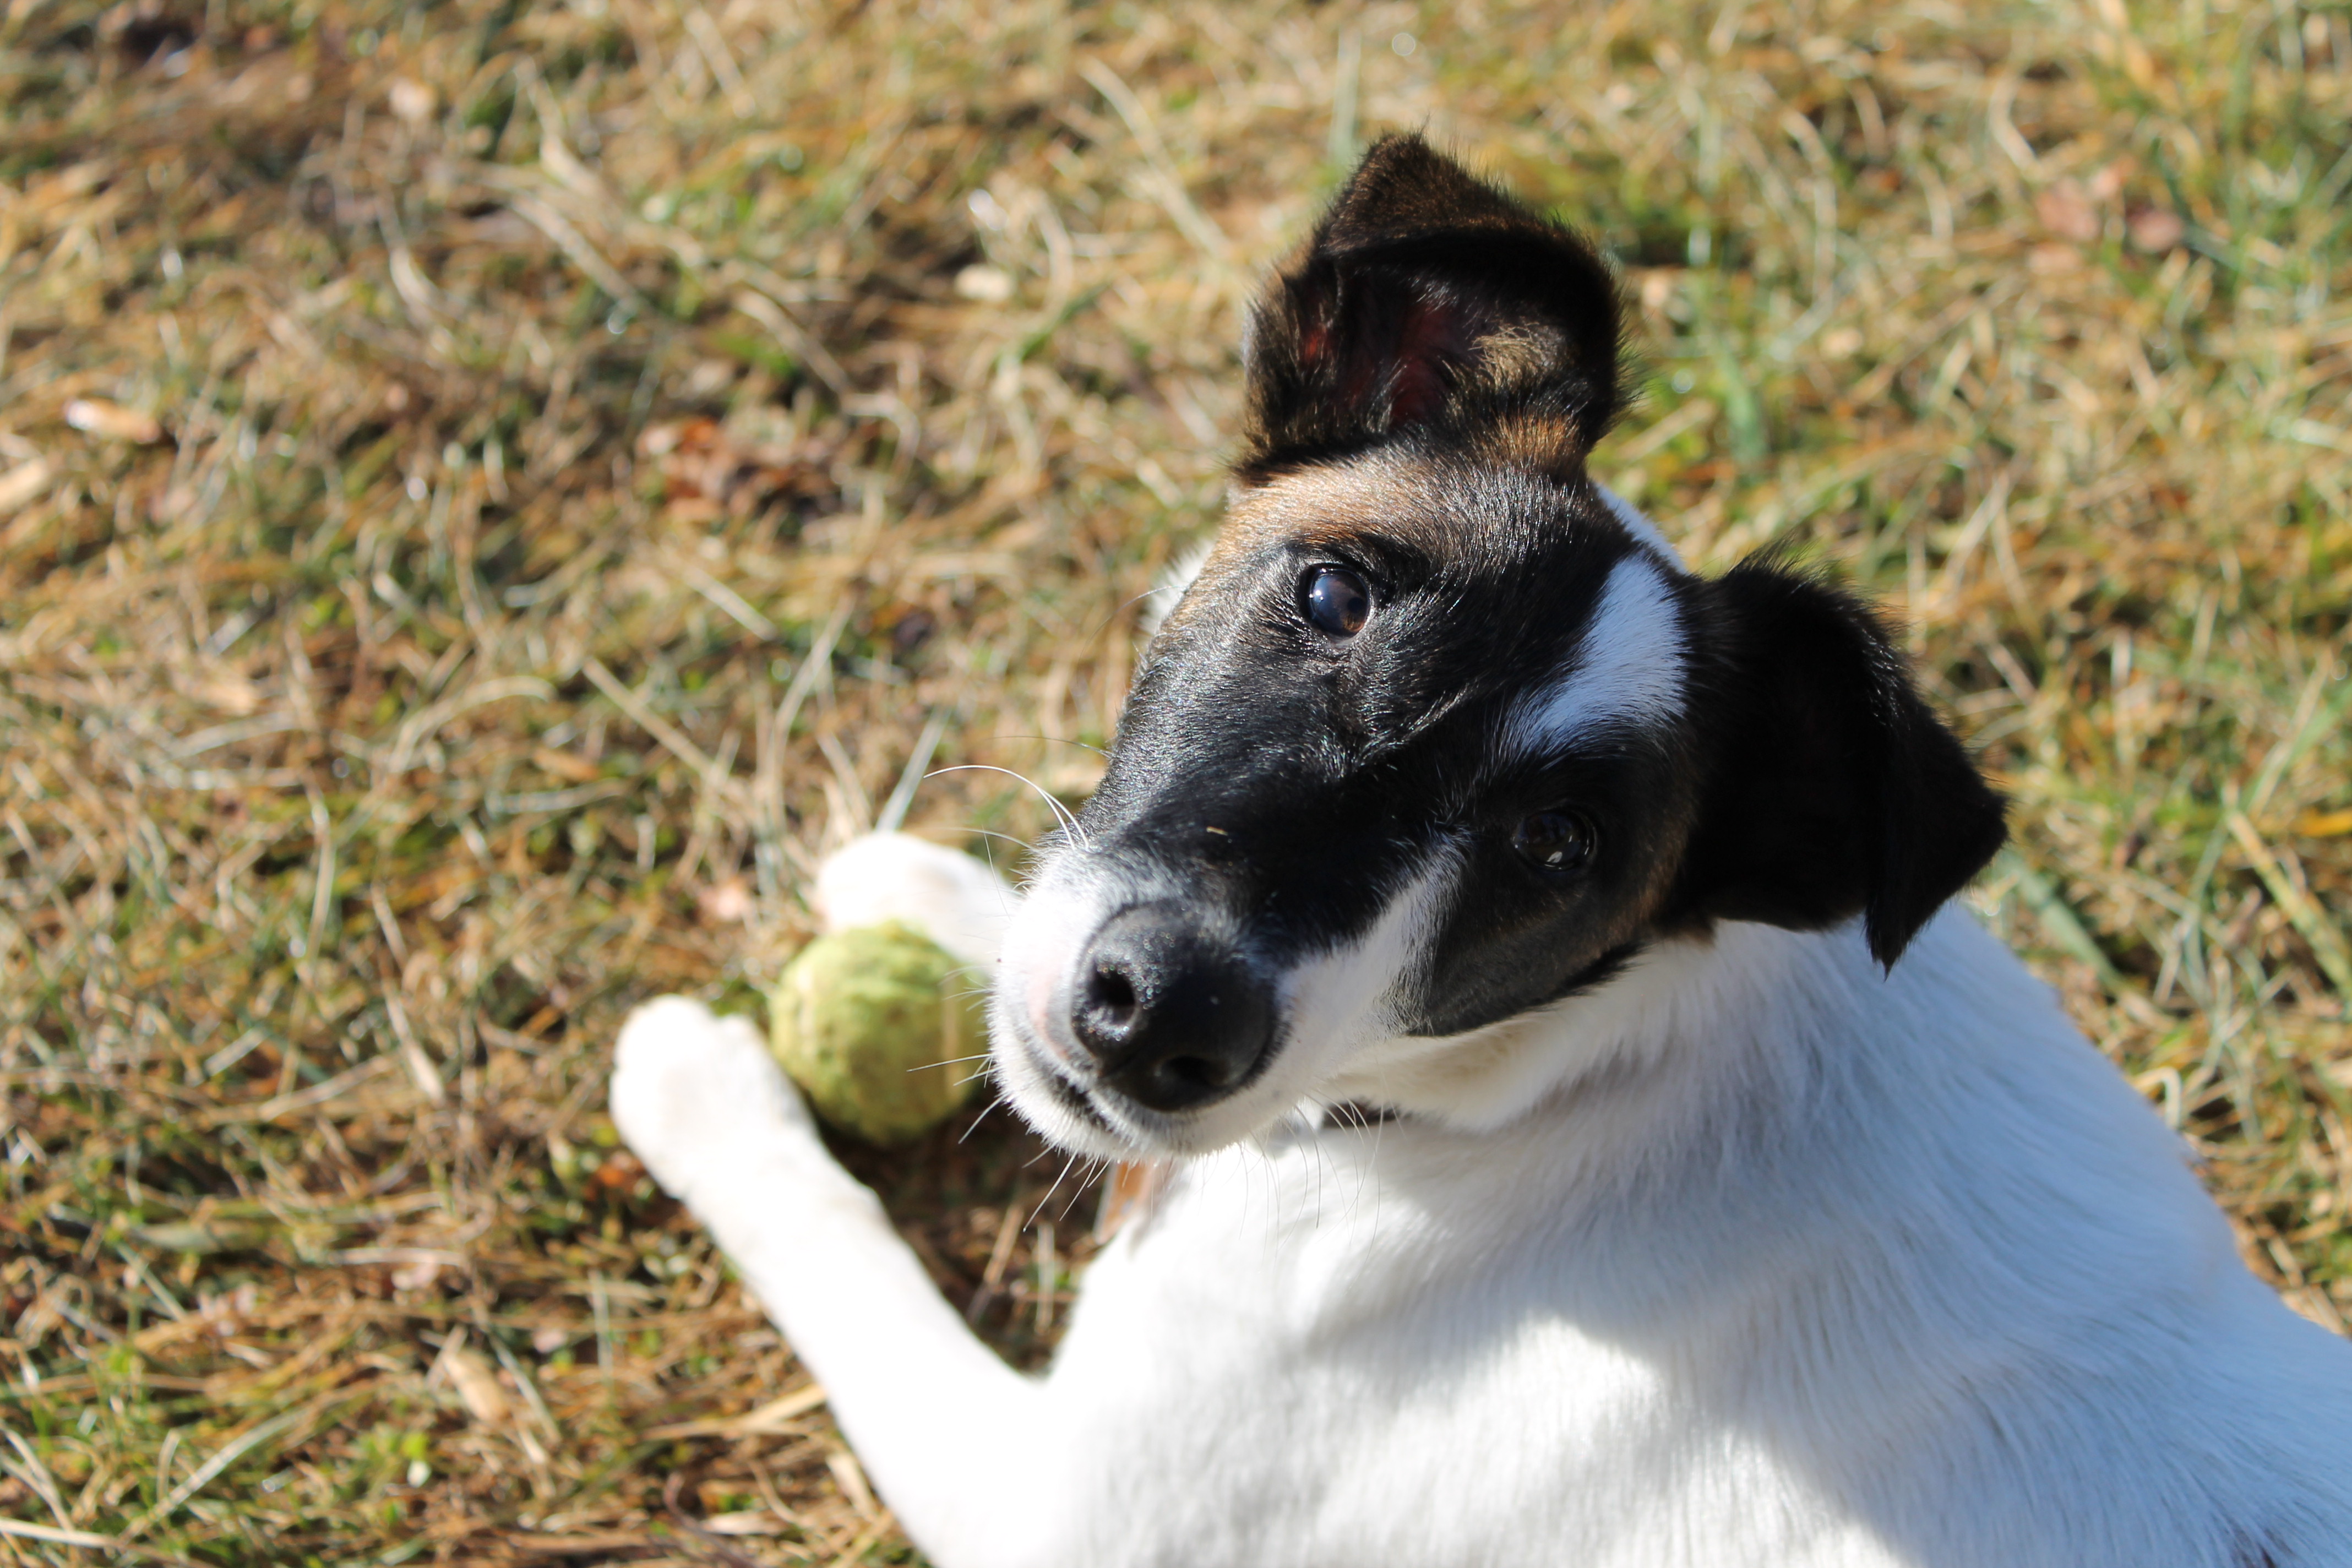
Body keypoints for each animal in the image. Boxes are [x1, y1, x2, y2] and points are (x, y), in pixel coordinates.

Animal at [611, 137, 2352, 1567]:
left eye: (1558, 847)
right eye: (1331, 592)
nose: (1165, 1013)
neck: (1526, 1087)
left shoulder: (1055, 1507)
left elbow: (838, 1255)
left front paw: (708, 1090)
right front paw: (927, 890)